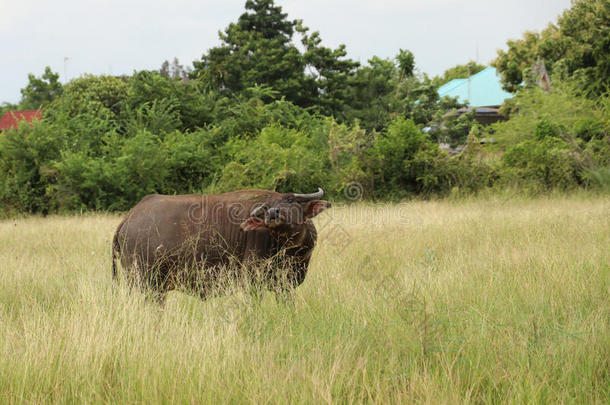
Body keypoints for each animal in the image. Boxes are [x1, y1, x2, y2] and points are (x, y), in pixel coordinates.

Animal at [109, 189, 328, 300]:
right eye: (266, 208)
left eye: (291, 201)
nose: (273, 213)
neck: (288, 250)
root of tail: (129, 218)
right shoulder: (251, 282)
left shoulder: (285, 287)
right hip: (146, 283)